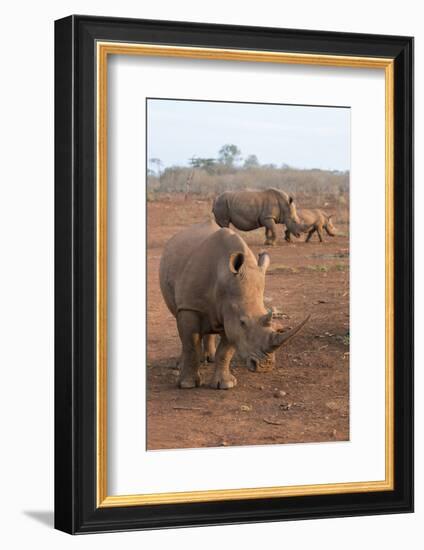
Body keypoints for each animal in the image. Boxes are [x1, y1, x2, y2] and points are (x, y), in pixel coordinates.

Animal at [159, 218, 308, 390]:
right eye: (243, 322)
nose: (264, 366)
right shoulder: (191, 306)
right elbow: (191, 345)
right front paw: (187, 384)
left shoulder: (230, 313)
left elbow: (225, 351)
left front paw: (225, 385)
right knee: (180, 322)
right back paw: (180, 366)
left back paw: (209, 359)